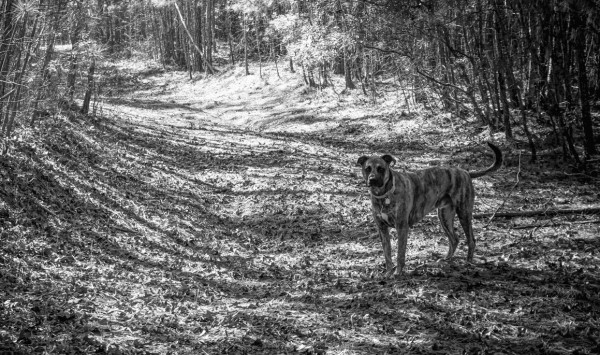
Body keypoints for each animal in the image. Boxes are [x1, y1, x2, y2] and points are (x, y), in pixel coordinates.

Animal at [356, 143, 502, 280]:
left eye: (381, 168)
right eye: (367, 169)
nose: (372, 179)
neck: (384, 195)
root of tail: (465, 172)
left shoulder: (401, 227)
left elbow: (400, 254)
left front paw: (398, 272)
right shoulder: (382, 229)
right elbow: (387, 254)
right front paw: (388, 273)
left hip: (464, 213)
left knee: (471, 240)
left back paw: (468, 263)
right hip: (444, 216)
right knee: (454, 239)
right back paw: (446, 259)